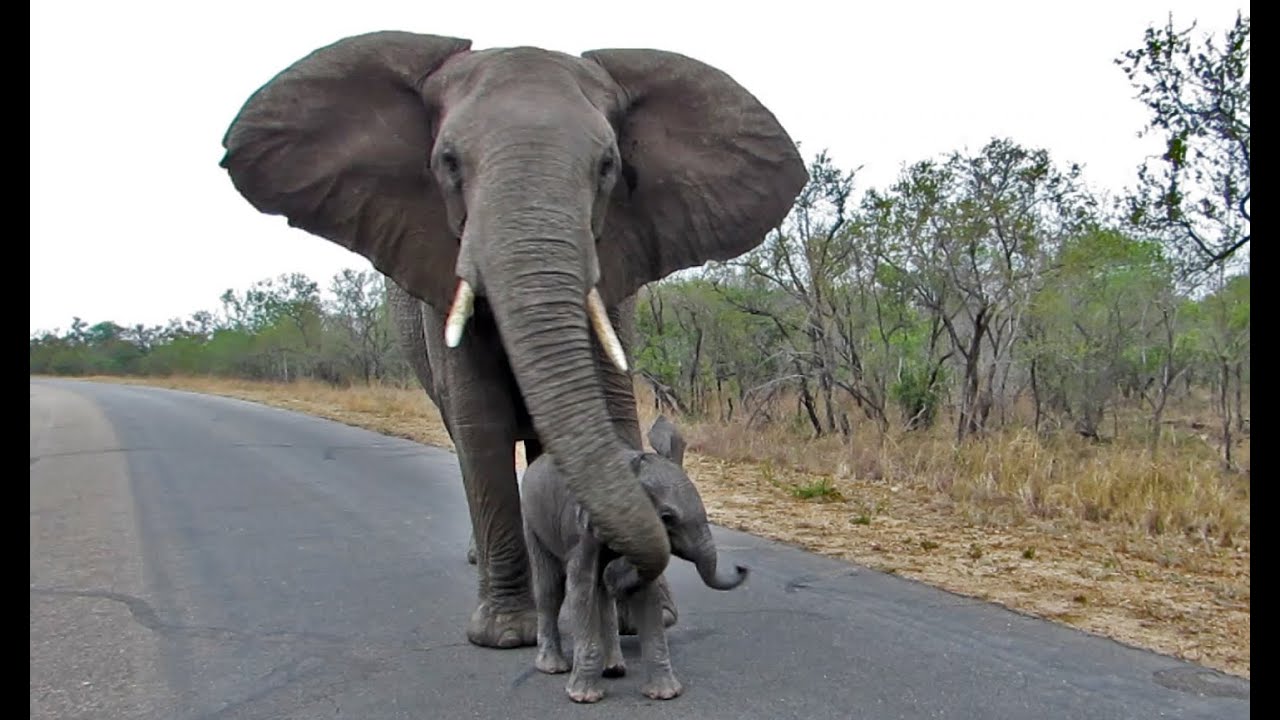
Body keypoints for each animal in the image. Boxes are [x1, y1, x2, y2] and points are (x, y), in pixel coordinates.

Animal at [219, 30, 806, 650]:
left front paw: (643, 617)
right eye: (448, 162)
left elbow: (611, 409)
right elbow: (481, 426)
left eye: (608, 166)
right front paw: (506, 635)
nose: (740, 570)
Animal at [521, 415, 748, 702]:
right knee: (550, 588)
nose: (741, 567)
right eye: (666, 518)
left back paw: (614, 669)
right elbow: (580, 586)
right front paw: (584, 698)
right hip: (532, 520)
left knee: (601, 594)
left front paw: (665, 695)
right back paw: (553, 667)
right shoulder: (583, 531)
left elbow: (645, 593)